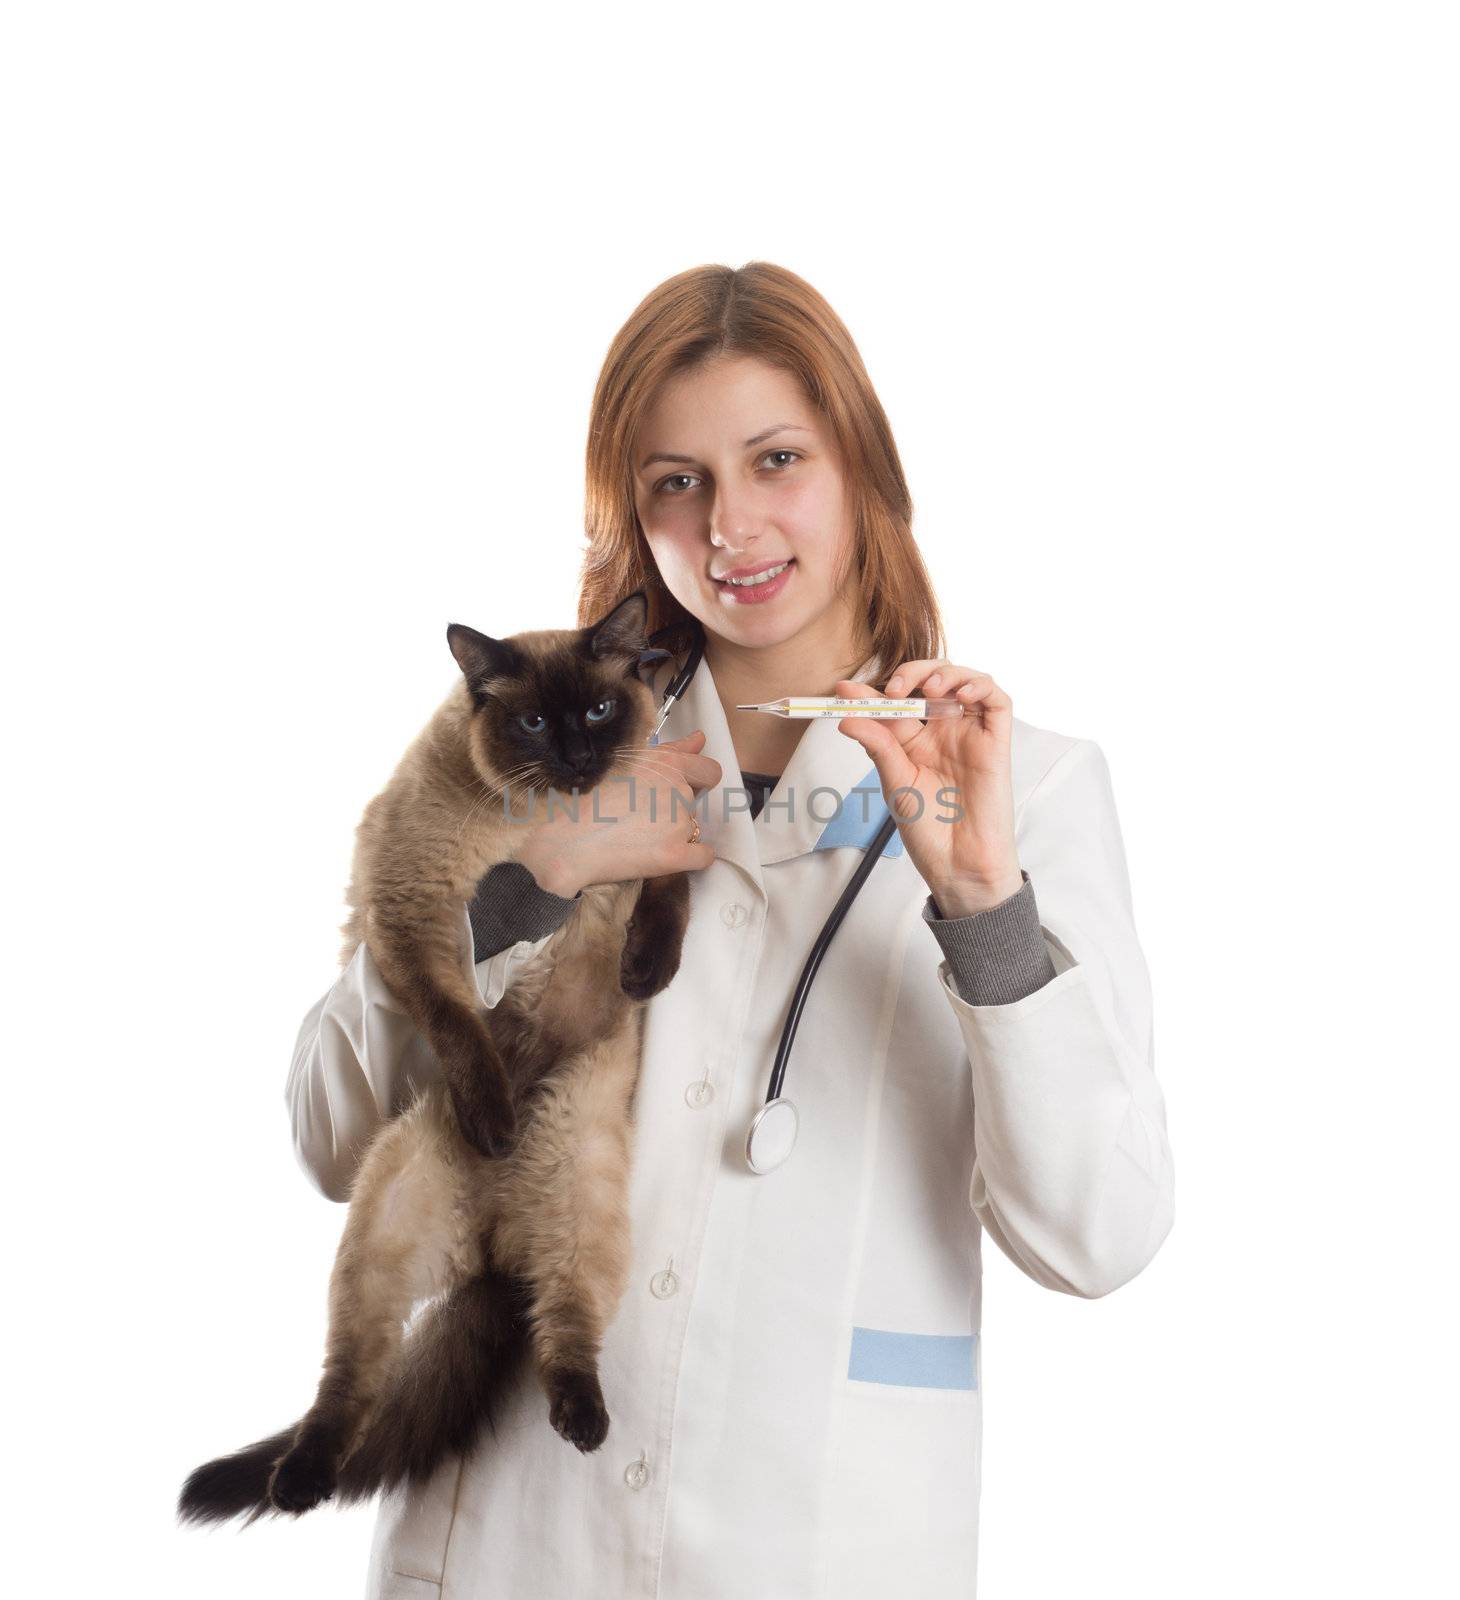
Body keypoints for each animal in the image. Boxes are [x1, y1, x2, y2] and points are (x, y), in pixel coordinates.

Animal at [179, 588, 691, 1523]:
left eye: (600, 710)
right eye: (533, 722)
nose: (576, 758)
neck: (549, 816)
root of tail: (493, 1240)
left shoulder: (665, 850)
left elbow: (667, 902)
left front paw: (647, 971)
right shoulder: (416, 912)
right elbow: (459, 1021)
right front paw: (491, 1113)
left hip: (582, 1189)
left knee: (565, 1322)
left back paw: (583, 1419)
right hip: (383, 1229)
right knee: (348, 1382)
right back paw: (299, 1479)